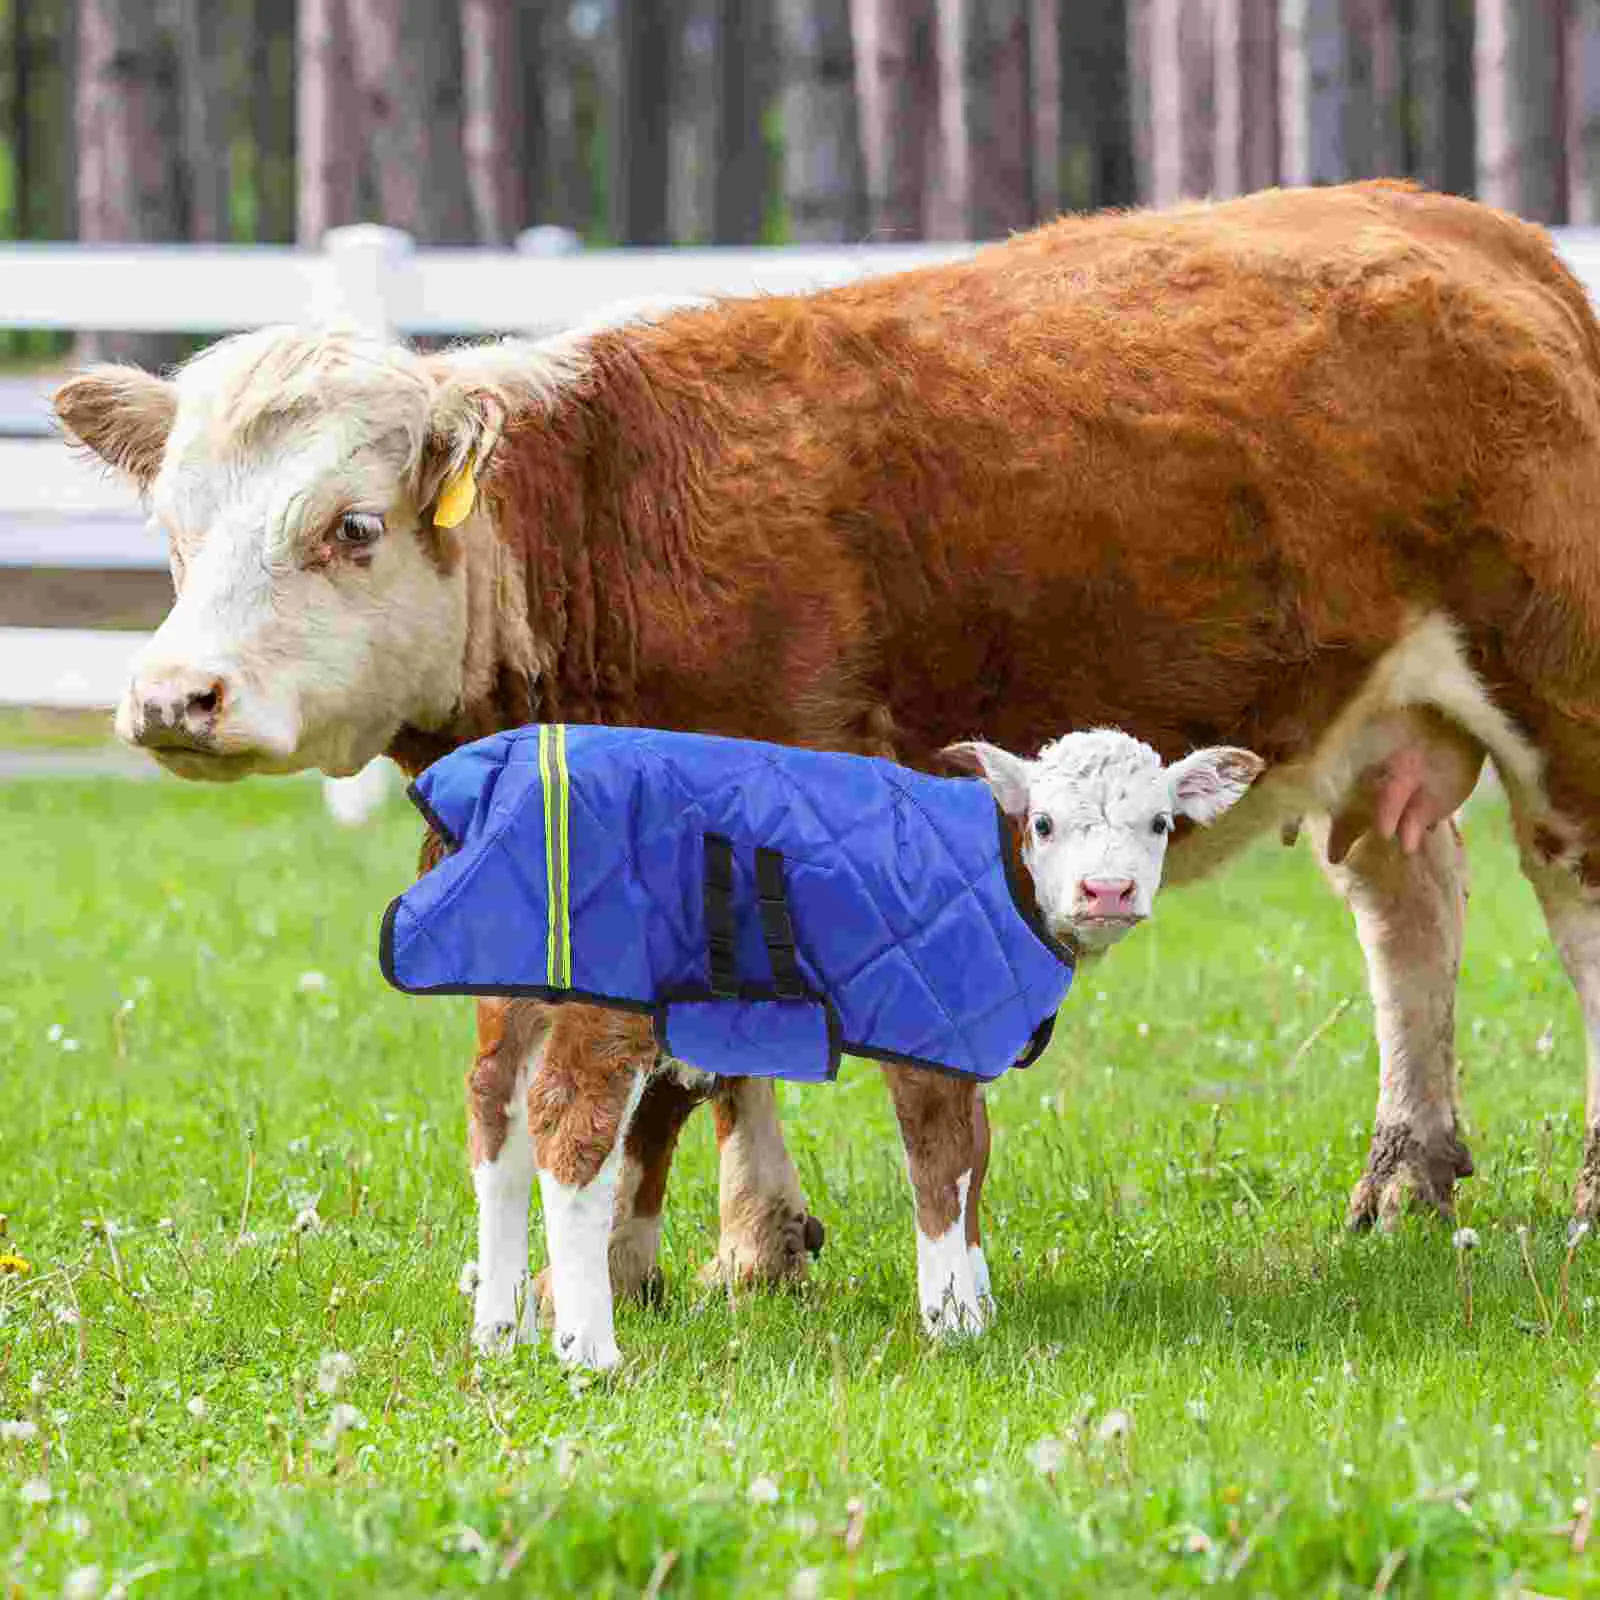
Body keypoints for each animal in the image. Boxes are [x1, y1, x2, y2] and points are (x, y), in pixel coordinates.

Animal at [62, 181, 1600, 1363]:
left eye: (353, 526)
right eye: (173, 532)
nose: (172, 696)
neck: (614, 522)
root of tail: (1471, 227)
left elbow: (693, 1078)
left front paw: (635, 1270)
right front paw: (743, 1245)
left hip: (1557, 692)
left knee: (1574, 903)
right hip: (1385, 724)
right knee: (1410, 900)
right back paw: (1407, 1172)